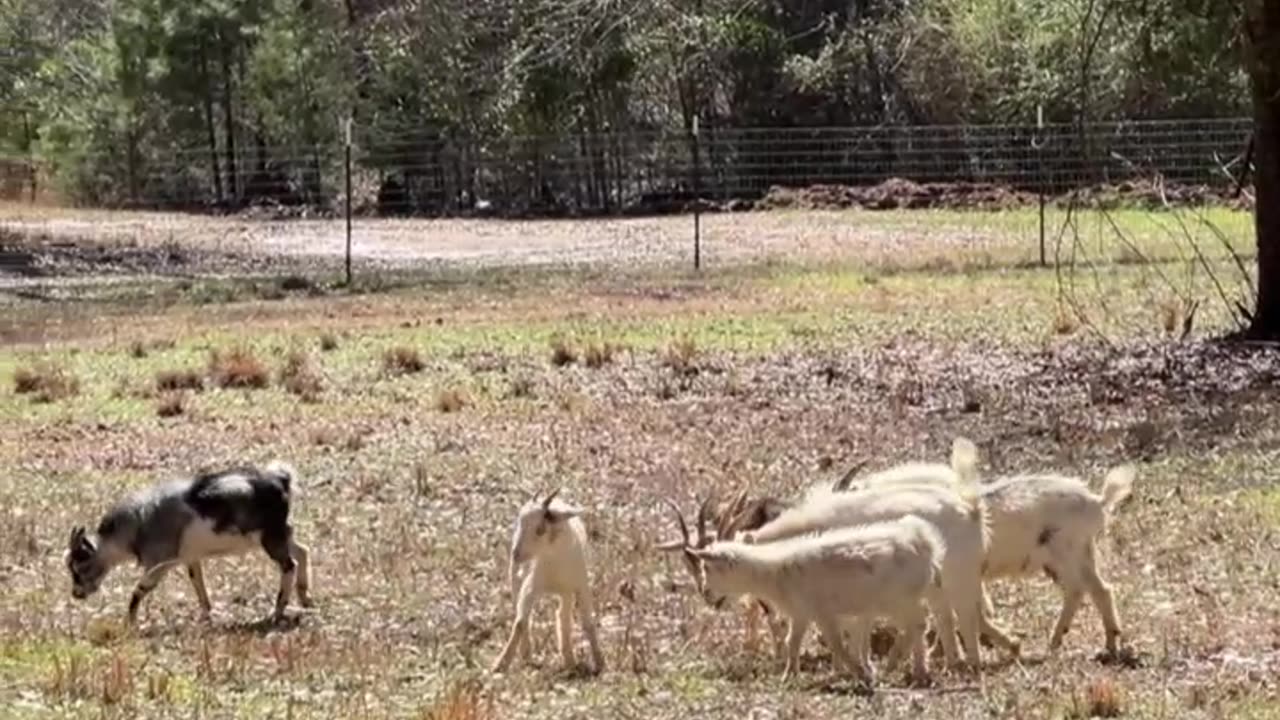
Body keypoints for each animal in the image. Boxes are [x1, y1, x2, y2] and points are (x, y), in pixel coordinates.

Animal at [65, 461, 311, 625]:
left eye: (81, 566)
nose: (76, 594)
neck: (137, 524)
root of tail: (281, 479)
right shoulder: (191, 558)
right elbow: (198, 585)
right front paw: (206, 616)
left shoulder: (159, 563)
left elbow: (139, 589)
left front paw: (131, 622)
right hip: (281, 533)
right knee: (302, 551)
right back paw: (305, 598)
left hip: (271, 537)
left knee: (289, 565)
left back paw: (276, 613)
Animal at [492, 489, 605, 674]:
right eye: (519, 523)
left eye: (540, 529)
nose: (516, 554)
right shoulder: (531, 585)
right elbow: (520, 621)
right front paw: (500, 664)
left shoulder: (580, 586)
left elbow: (587, 623)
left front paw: (600, 662)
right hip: (517, 579)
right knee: (524, 613)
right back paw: (528, 652)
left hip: (566, 592)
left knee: (563, 617)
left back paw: (569, 661)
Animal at [665, 501, 946, 685]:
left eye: (708, 567)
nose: (707, 595)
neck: (776, 571)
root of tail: (925, 543)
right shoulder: (801, 614)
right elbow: (793, 642)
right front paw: (789, 675)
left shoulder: (824, 612)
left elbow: (836, 643)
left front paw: (860, 673)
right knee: (917, 625)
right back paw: (915, 669)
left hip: (898, 599)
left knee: (917, 624)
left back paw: (896, 665)